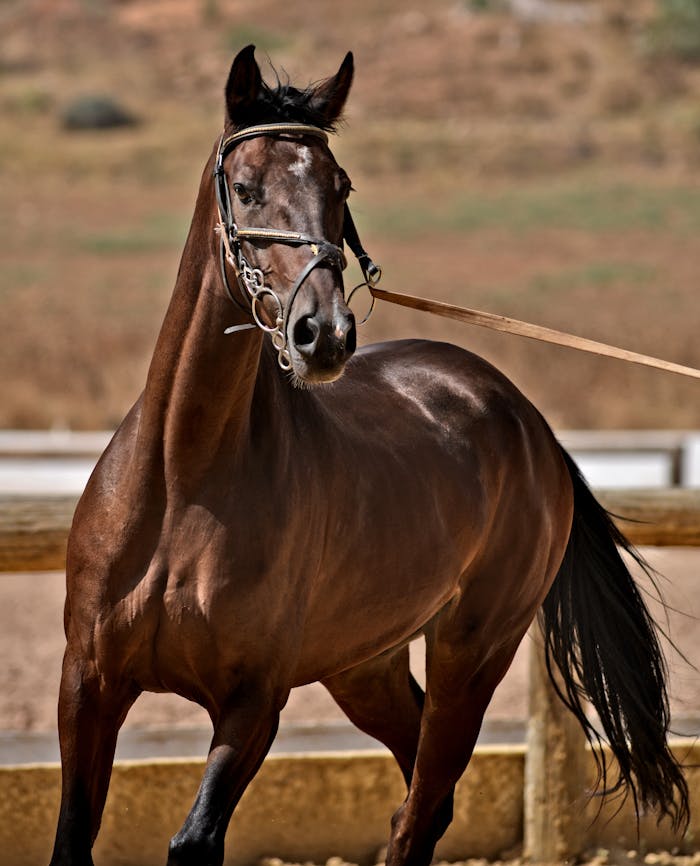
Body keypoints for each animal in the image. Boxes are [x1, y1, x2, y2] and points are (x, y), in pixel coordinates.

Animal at [50, 45, 689, 866]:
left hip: (471, 655)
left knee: (423, 807)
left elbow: (195, 840)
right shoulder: (88, 686)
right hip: (365, 667)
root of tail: (529, 423)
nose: (324, 335)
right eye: (246, 188)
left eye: (340, 187)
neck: (183, 483)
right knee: (418, 793)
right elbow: (74, 835)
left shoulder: (253, 701)